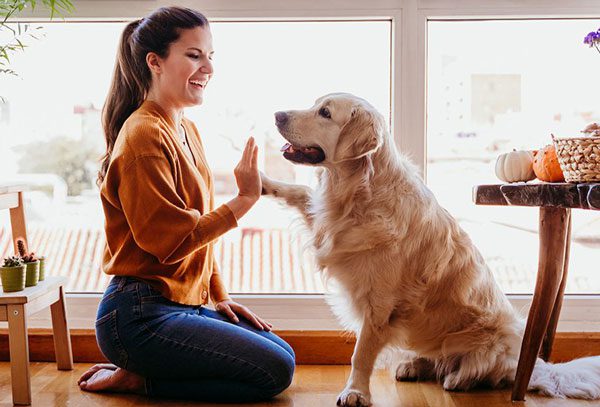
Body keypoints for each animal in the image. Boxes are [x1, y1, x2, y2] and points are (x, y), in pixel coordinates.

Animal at [262, 94, 600, 406]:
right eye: (315, 104)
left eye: (325, 113)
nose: (277, 115)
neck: (358, 192)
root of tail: (530, 366)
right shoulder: (327, 223)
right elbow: (299, 192)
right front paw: (262, 181)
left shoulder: (379, 304)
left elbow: (361, 354)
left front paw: (355, 392)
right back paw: (414, 366)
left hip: (498, 336)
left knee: (483, 370)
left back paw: (459, 379)